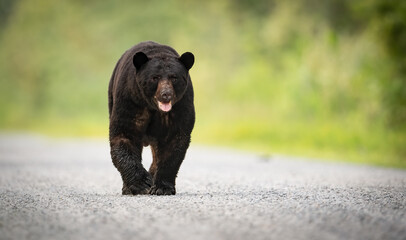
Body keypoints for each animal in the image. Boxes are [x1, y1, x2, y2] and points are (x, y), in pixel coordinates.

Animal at [108, 41, 195, 195]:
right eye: (155, 77)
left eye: (174, 77)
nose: (166, 94)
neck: (154, 107)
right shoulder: (131, 101)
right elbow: (124, 135)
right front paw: (142, 184)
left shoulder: (180, 107)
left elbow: (174, 143)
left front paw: (162, 187)